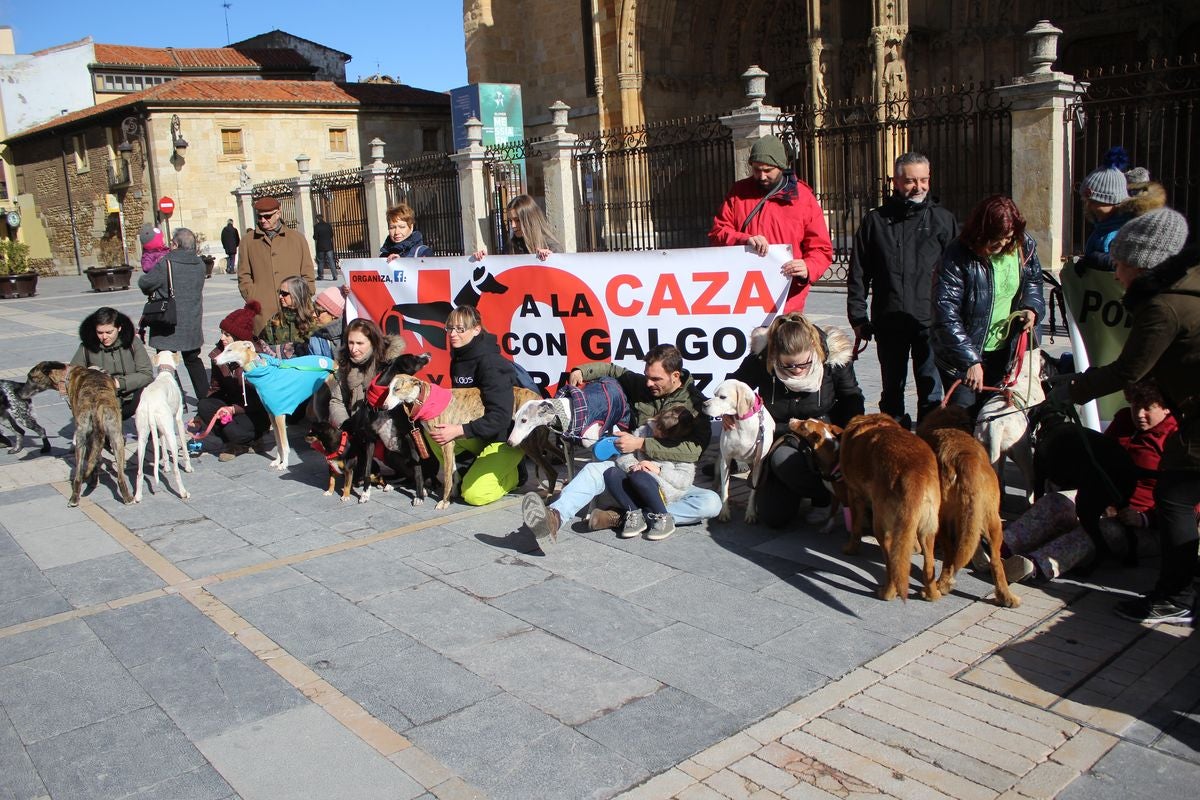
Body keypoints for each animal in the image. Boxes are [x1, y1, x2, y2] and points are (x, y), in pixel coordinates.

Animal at [700, 381, 772, 525]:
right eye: (714, 394)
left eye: (722, 397)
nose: (704, 404)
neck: (742, 422)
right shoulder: (726, 460)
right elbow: (725, 490)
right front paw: (724, 512)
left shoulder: (758, 463)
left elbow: (753, 492)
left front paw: (751, 513)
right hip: (719, 462)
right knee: (717, 479)